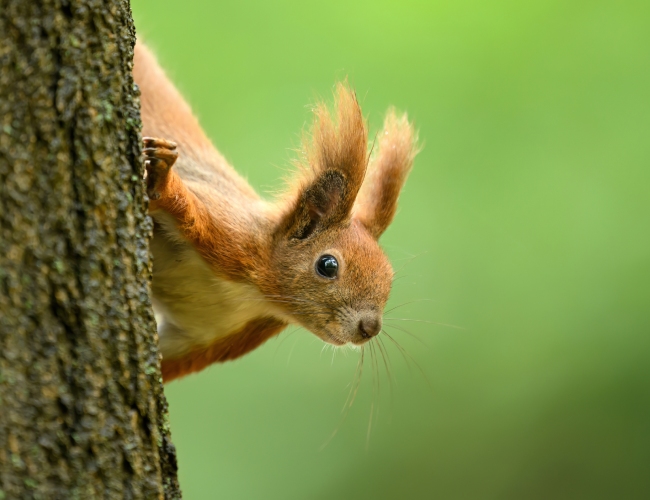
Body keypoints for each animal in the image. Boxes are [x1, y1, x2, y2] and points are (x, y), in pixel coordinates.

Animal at [133, 42, 418, 383]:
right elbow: (187, 206)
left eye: (389, 275)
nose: (370, 328)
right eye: (327, 265)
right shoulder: (229, 235)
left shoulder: (208, 337)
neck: (258, 296)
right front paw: (162, 179)